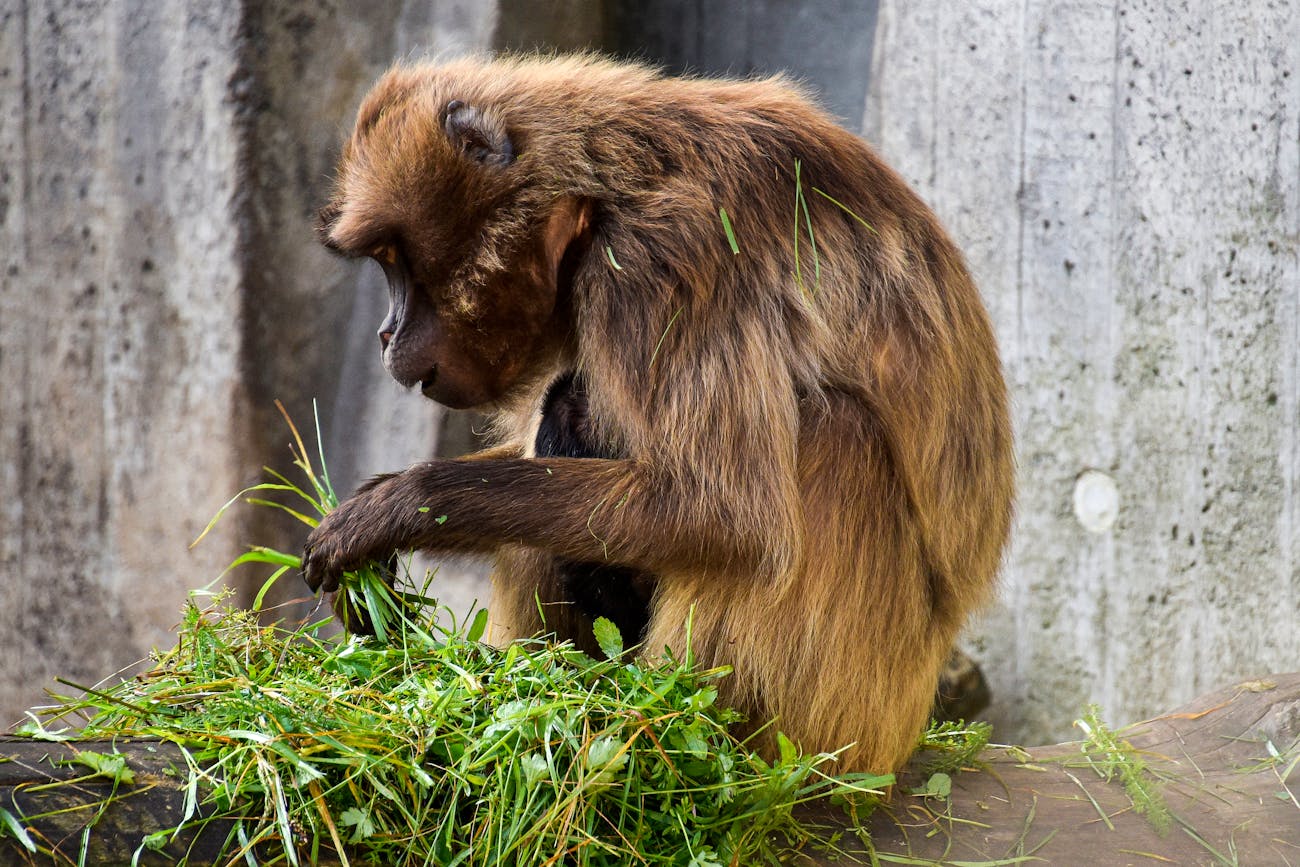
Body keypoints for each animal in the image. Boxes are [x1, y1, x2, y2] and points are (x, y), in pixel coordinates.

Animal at [304, 54, 1013, 774]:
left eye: (400, 266)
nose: (386, 335)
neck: (600, 195)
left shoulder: (661, 258)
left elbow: (724, 514)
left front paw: (398, 508)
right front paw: (374, 515)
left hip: (863, 707)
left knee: (830, 437)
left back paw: (675, 735)